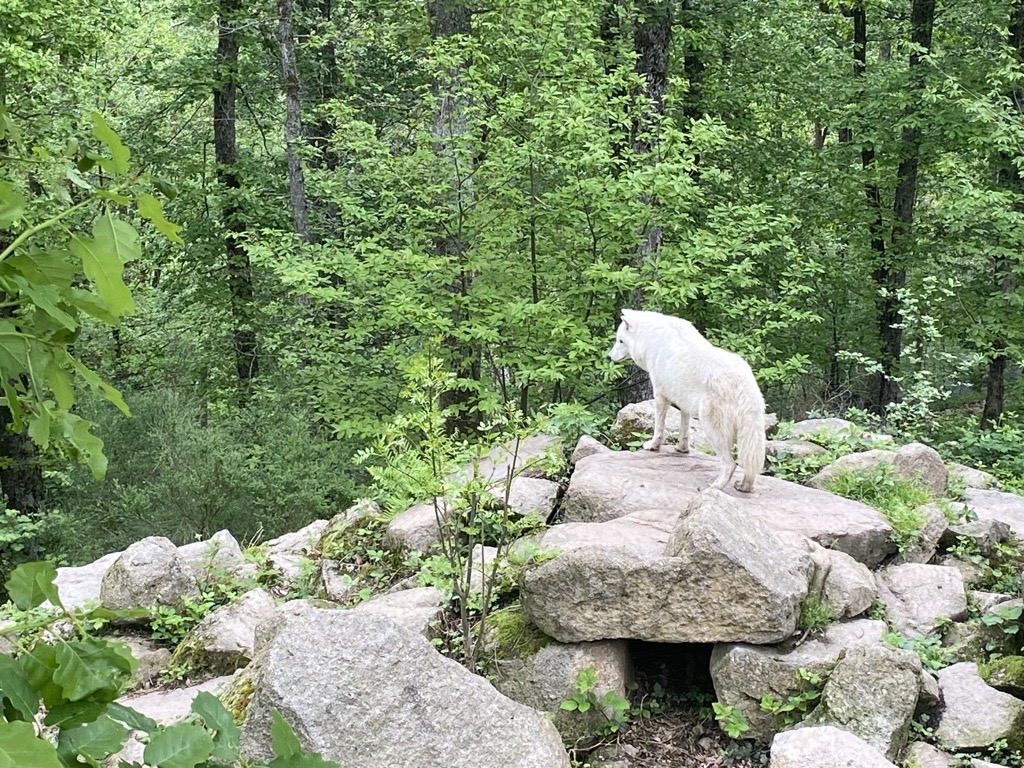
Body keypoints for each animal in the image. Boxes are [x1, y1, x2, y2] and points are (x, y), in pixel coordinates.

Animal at [602, 311, 765, 493]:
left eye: (620, 341)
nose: (609, 356)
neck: (650, 339)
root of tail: (744, 383)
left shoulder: (660, 394)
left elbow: (659, 427)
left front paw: (653, 446)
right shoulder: (683, 400)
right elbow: (685, 427)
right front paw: (682, 449)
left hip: (711, 427)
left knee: (730, 464)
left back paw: (715, 487)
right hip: (749, 431)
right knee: (750, 463)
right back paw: (744, 486)